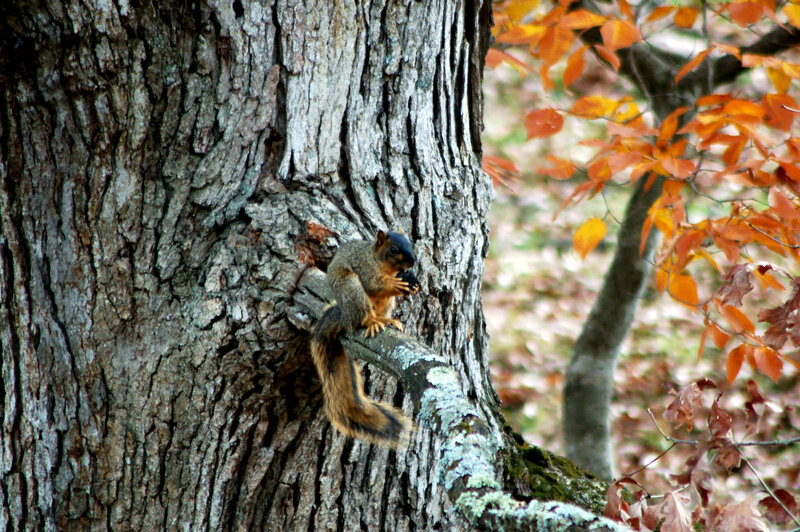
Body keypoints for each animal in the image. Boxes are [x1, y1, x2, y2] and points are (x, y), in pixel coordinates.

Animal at [311, 230, 419, 447]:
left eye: (409, 244)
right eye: (393, 249)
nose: (411, 261)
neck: (380, 261)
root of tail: (345, 318)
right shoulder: (364, 267)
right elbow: (373, 284)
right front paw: (395, 283)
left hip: (386, 303)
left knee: (380, 311)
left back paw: (386, 320)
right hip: (352, 290)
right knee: (362, 318)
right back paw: (371, 322)